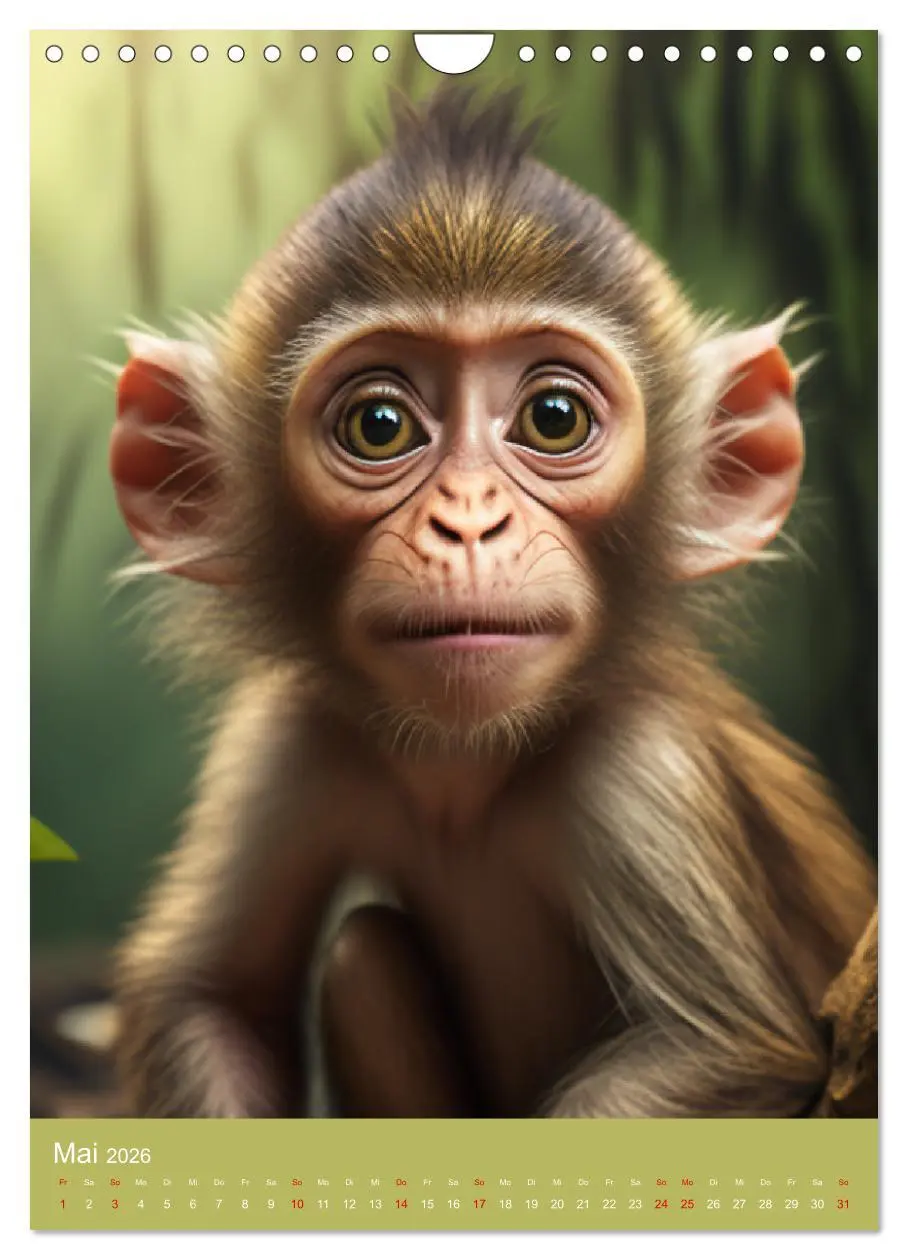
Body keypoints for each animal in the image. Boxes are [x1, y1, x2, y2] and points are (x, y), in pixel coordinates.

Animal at [108, 86, 876, 1121]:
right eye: (379, 425)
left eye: (554, 418)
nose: (468, 521)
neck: (466, 772)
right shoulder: (289, 734)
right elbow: (212, 998)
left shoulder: (643, 771)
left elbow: (725, 1048)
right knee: (362, 954)